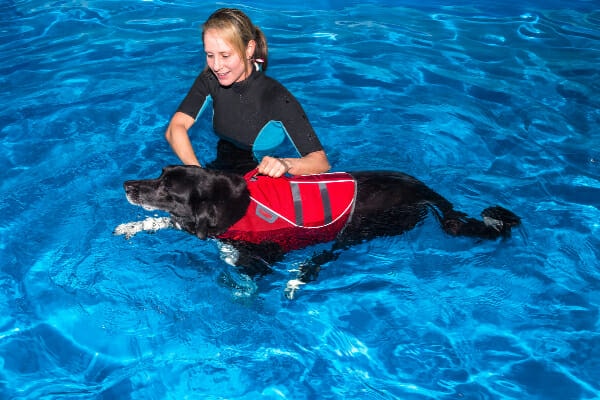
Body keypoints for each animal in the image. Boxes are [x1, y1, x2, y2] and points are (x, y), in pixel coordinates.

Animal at [120, 166, 520, 294]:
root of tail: (424, 189)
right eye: (159, 174)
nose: (126, 185)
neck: (234, 202)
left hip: (358, 230)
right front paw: (133, 225)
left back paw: (298, 278)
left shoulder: (264, 254)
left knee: (325, 258)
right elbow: (164, 222)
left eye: (167, 189)